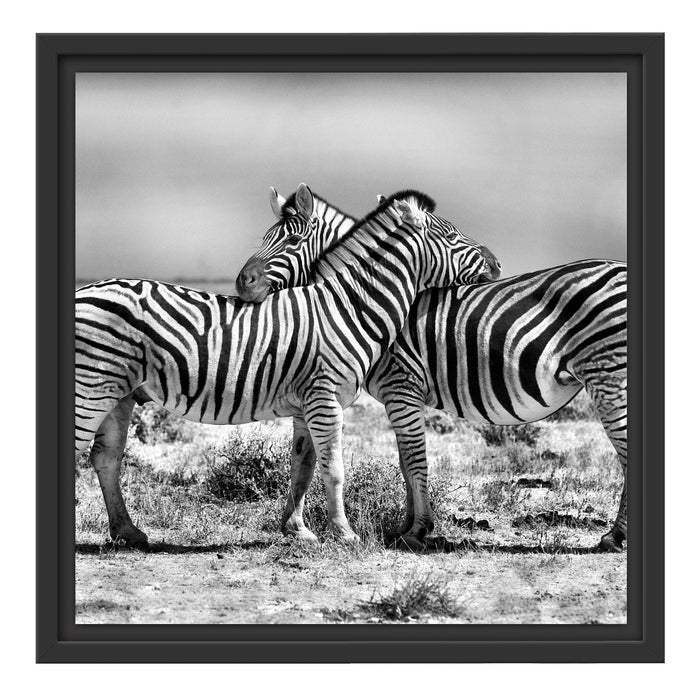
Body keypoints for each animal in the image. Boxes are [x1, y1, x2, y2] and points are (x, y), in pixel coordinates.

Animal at [75, 187, 496, 546]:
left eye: (292, 241)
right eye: (453, 237)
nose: (495, 263)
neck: (347, 307)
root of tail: (84, 290)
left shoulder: (308, 404)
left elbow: (303, 466)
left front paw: (298, 530)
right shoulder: (325, 400)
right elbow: (334, 469)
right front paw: (344, 534)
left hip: (119, 394)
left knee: (106, 457)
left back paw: (128, 532)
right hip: (91, 388)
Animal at [236, 190, 627, 553]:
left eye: (291, 241)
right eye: (265, 237)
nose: (243, 283)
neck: (359, 300)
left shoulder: (402, 386)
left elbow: (414, 460)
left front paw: (417, 530)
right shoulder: (400, 396)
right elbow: (404, 461)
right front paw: (406, 526)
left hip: (608, 375)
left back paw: (615, 536)